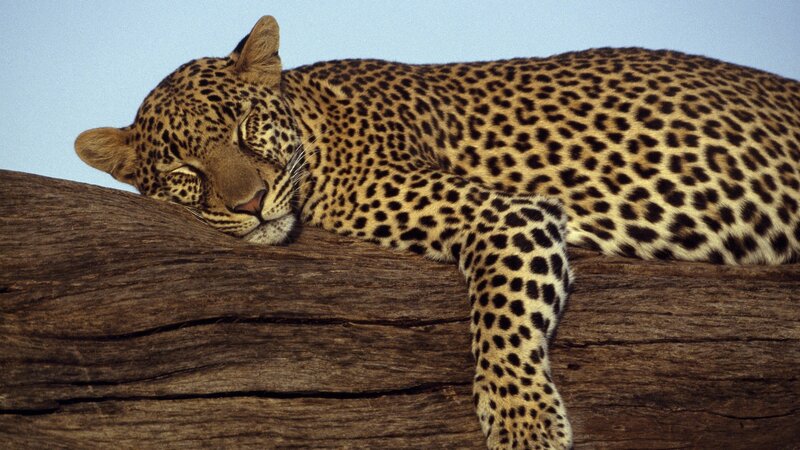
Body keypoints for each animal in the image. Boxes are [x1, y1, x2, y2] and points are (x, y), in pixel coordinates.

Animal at [75, 16, 800, 449]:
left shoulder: (511, 213)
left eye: (243, 126)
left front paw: (524, 424)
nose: (252, 203)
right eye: (183, 170)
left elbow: (502, 319)